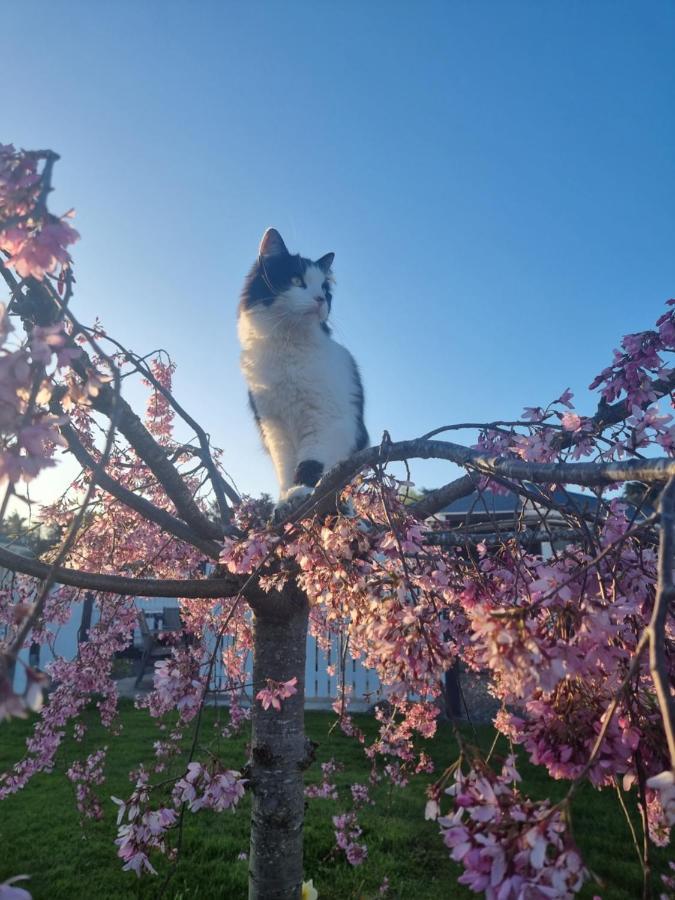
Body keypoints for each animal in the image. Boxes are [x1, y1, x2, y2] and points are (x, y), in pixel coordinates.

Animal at [239, 229, 370, 516]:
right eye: (297, 280)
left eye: (324, 290)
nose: (320, 300)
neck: (287, 346)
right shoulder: (275, 428)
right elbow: (287, 468)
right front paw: (286, 499)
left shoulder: (326, 418)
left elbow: (311, 462)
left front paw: (301, 491)